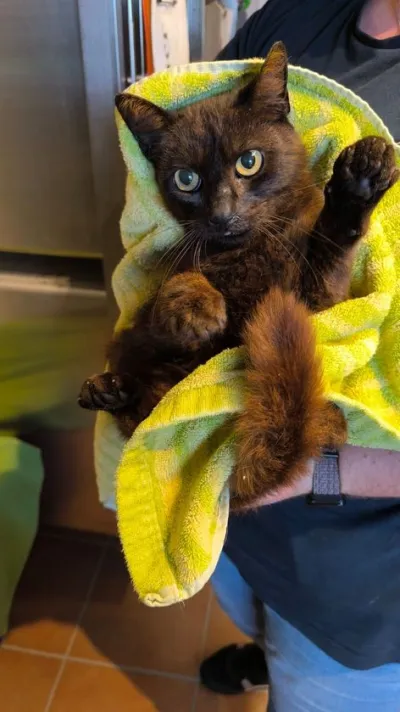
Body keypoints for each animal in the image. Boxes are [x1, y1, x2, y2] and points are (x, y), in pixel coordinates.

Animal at [78, 43, 396, 506]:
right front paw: (197, 308)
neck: (249, 251)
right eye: (186, 179)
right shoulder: (160, 297)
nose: (222, 214)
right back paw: (107, 389)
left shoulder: (320, 303)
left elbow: (330, 249)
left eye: (249, 162)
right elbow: (176, 287)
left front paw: (361, 179)